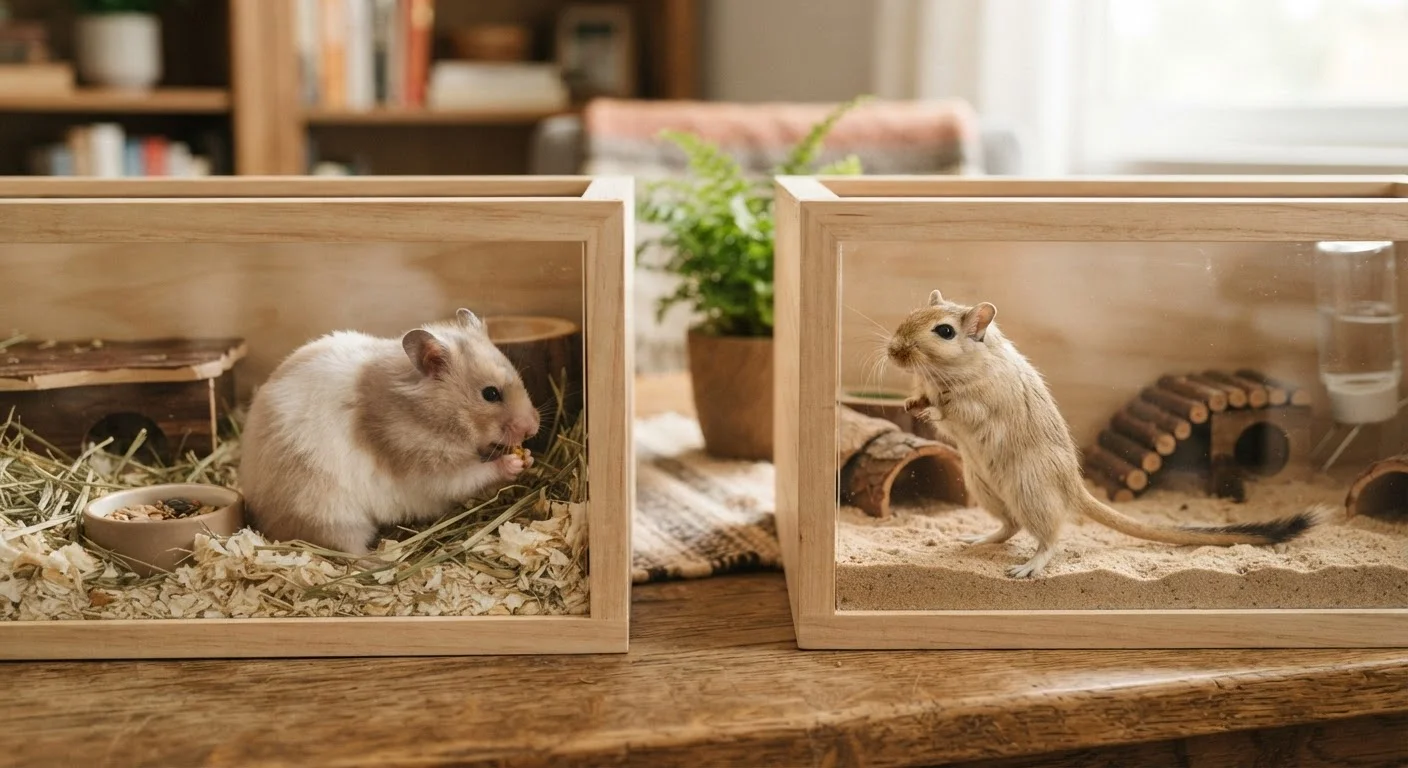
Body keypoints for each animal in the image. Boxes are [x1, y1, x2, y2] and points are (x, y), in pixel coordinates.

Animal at [238, 308, 541, 555]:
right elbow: (472, 474)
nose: (533, 428)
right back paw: (379, 559)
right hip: (330, 514)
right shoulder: (425, 467)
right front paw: (513, 463)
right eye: (490, 394)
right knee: (347, 549)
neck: (427, 415)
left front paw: (528, 458)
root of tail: (262, 519)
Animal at [887, 289, 1324, 579]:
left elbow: (953, 408)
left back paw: (1027, 568)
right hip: (984, 487)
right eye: (911, 313)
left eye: (944, 332)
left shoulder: (980, 401)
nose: (892, 351)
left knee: (1050, 538)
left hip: (1028, 490)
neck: (953, 368)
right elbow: (924, 399)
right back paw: (976, 541)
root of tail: (1074, 488)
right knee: (1010, 527)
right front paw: (910, 404)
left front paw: (932, 406)